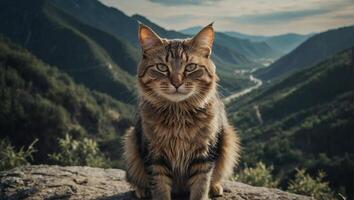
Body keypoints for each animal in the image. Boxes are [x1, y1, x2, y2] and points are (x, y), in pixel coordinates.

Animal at [124, 22, 241, 199]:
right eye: (162, 67)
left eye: (191, 67)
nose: (176, 83)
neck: (178, 116)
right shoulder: (155, 156)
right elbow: (160, 189)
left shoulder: (204, 154)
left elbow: (201, 187)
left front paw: (205, 192)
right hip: (131, 140)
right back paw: (142, 190)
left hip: (228, 137)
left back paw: (215, 187)